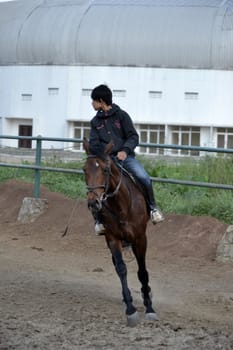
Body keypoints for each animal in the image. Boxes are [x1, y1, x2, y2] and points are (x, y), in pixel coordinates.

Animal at [82, 138, 158, 326]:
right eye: (84, 169)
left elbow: (142, 271)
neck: (121, 206)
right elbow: (122, 269)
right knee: (118, 267)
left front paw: (149, 307)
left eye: (105, 169)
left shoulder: (140, 239)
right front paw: (130, 310)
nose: (93, 203)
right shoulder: (112, 239)